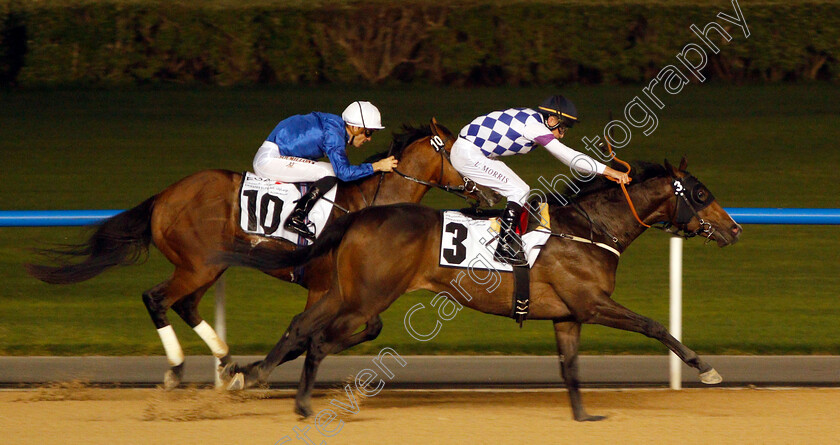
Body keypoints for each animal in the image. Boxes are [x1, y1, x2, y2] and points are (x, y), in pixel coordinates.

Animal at [26, 118, 496, 388]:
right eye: (463, 155)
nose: (488, 193)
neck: (367, 202)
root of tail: (164, 196)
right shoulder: (327, 285)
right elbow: (311, 330)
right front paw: (266, 369)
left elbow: (356, 329)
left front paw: (256, 369)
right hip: (198, 265)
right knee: (157, 299)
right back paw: (179, 368)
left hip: (208, 266)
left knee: (185, 305)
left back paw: (224, 360)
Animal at [218, 157, 740, 420]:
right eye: (700, 193)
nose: (735, 229)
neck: (589, 229)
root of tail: (360, 216)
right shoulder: (592, 303)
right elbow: (653, 325)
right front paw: (705, 368)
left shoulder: (567, 316)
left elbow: (570, 367)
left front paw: (583, 416)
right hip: (368, 299)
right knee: (323, 340)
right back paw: (302, 402)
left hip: (343, 291)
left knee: (301, 326)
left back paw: (251, 373)